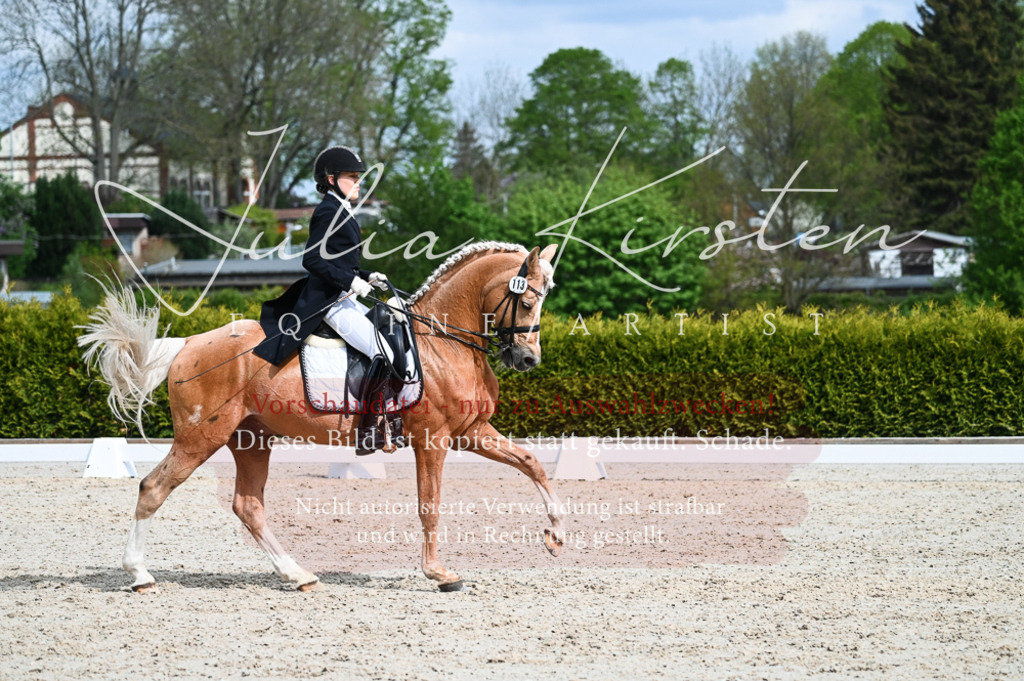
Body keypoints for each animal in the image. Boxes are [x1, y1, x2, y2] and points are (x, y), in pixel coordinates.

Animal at [78, 242, 565, 592]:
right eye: (526, 303)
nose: (528, 359)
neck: (443, 342)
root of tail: (188, 343)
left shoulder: (471, 432)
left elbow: (532, 464)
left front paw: (555, 534)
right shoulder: (434, 440)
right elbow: (430, 505)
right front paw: (439, 575)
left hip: (250, 439)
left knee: (248, 505)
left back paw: (298, 575)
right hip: (200, 438)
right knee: (153, 488)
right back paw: (139, 575)